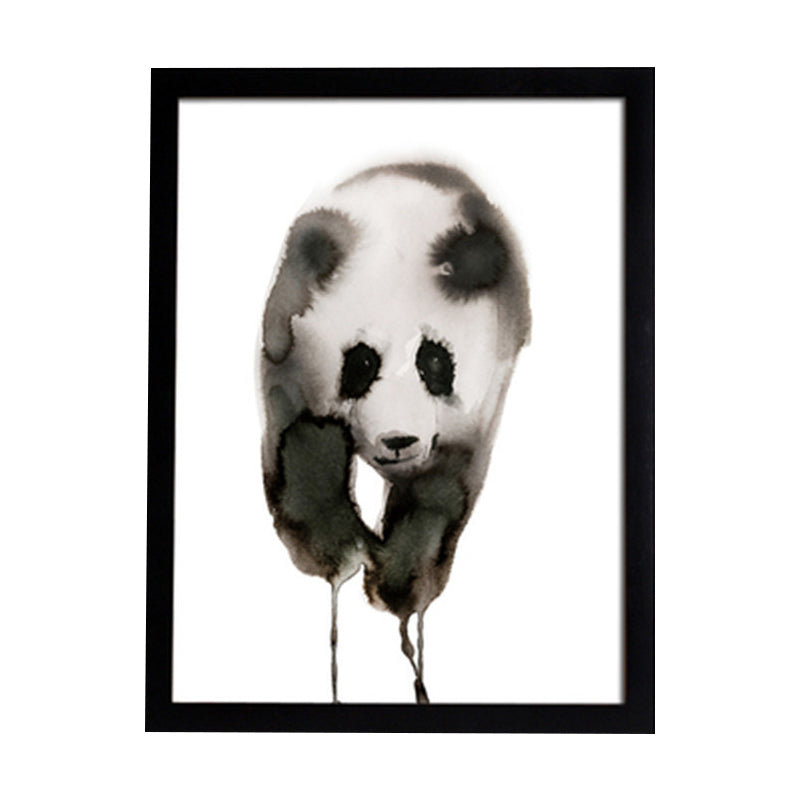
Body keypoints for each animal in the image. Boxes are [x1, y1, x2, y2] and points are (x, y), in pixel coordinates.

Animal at [259, 162, 530, 703]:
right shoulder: (284, 345)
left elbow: (440, 495)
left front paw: (401, 586)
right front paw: (337, 549)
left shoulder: (480, 404)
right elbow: (296, 447)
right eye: (361, 363)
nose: (398, 440)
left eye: (434, 361)